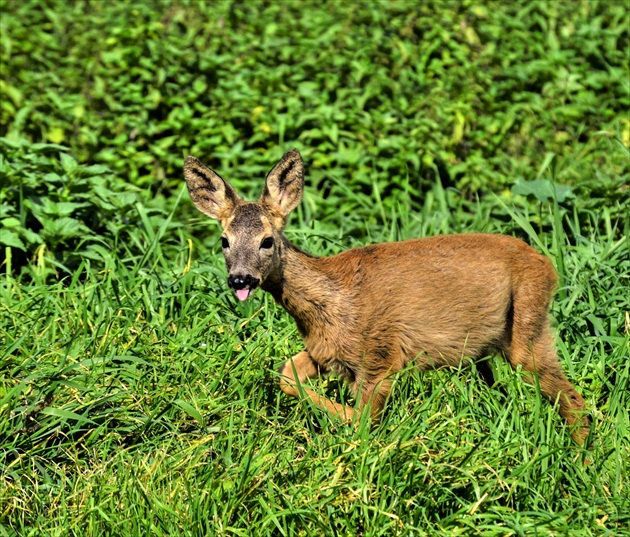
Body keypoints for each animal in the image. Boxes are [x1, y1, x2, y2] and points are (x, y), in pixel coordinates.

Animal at [184, 148, 592, 444]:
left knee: (573, 399)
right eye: (224, 241)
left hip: (528, 324)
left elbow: (364, 420)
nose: (240, 278)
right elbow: (286, 375)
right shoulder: (324, 350)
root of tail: (548, 265)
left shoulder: (380, 356)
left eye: (267, 240)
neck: (331, 301)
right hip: (491, 349)